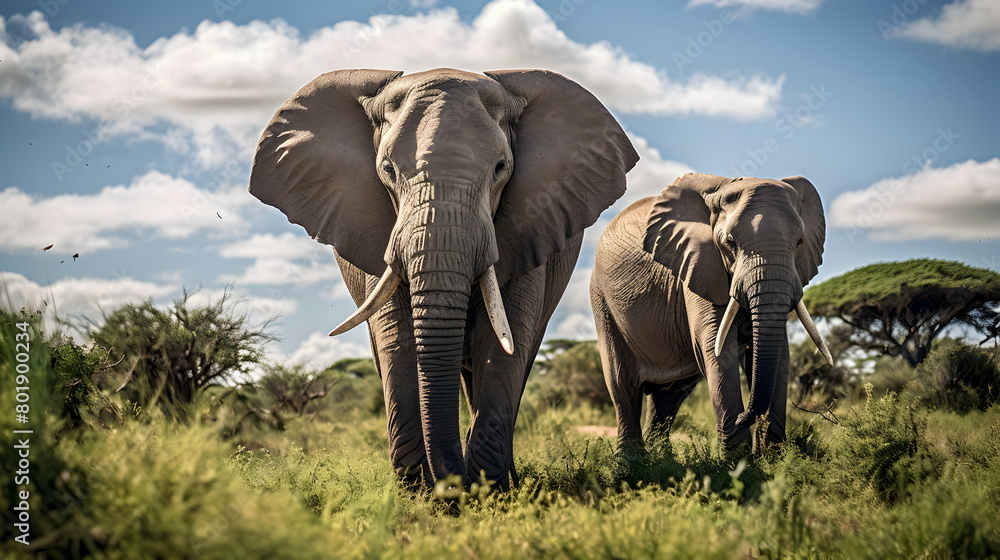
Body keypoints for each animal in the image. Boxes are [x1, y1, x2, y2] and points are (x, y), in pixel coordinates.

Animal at [250, 68, 638, 489]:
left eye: (501, 168)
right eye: (387, 170)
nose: (454, 485)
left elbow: (503, 341)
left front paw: (489, 489)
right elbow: (397, 341)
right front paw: (419, 492)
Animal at [589, 173, 831, 453]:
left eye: (799, 242)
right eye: (730, 243)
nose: (744, 417)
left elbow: (780, 353)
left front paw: (775, 456)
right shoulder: (697, 267)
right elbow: (717, 347)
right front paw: (739, 460)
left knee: (667, 396)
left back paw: (658, 459)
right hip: (601, 300)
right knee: (623, 388)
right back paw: (631, 461)